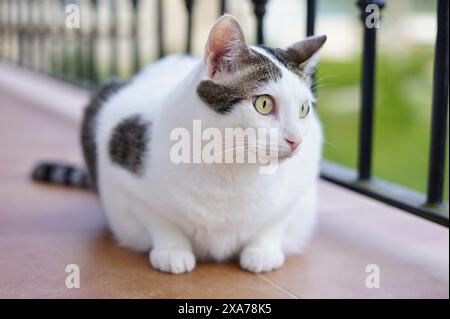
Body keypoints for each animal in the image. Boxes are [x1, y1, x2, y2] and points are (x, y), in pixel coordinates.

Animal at [32, 15, 326, 276]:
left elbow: (276, 220)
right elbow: (159, 218)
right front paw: (173, 250)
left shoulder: (301, 182)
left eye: (303, 109)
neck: (232, 165)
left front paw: (263, 251)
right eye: (264, 104)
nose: (296, 140)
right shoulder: (121, 163)